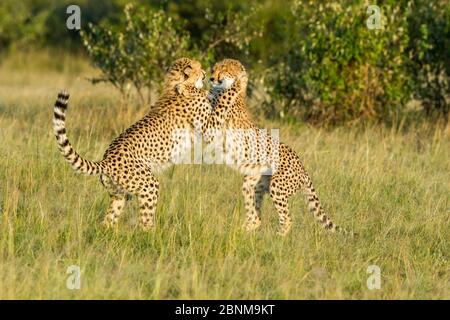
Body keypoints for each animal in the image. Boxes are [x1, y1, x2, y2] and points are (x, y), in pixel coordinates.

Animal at [52, 57, 237, 231]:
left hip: (120, 194)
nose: (205, 73)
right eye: (198, 68)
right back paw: (154, 235)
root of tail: (106, 160)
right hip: (148, 185)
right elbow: (221, 103)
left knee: (108, 220)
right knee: (145, 220)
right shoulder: (208, 128)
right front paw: (233, 86)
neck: (176, 84)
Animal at [205, 59, 352, 235]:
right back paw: (245, 231)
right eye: (214, 69)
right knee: (256, 217)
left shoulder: (211, 126)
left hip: (277, 186)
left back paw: (276, 238)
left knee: (287, 219)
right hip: (253, 183)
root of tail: (303, 168)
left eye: (223, 69)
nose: (212, 78)